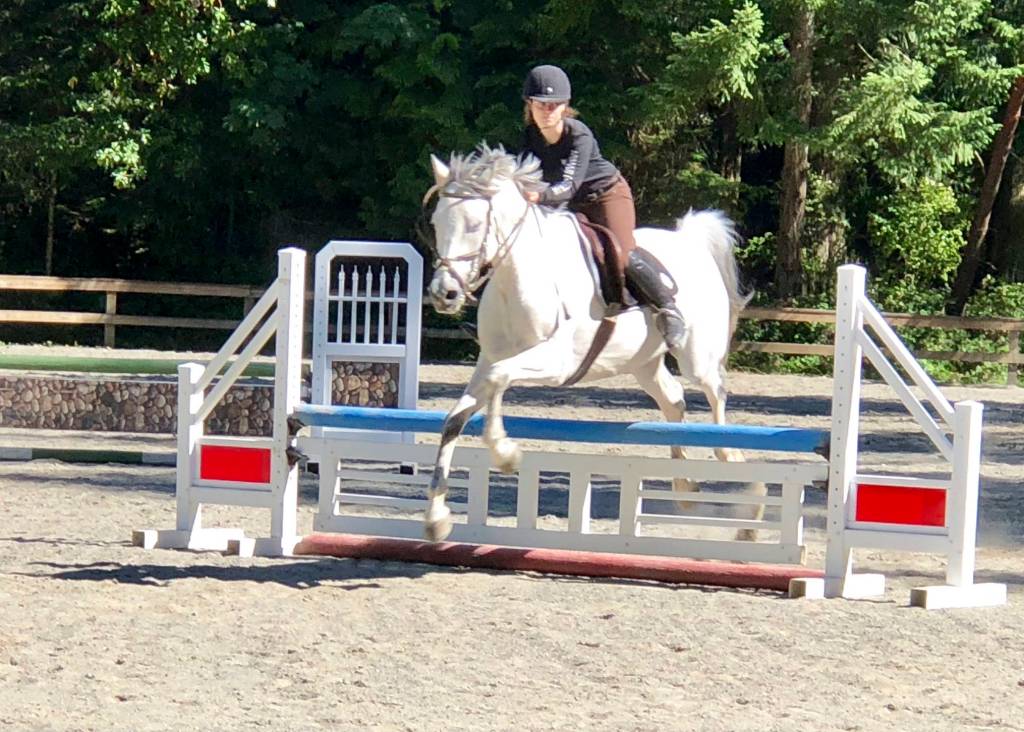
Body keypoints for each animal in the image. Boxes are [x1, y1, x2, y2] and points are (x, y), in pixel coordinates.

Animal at [421, 144, 760, 543]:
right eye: (437, 223)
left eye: (475, 225)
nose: (444, 294)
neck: (515, 279)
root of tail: (690, 243)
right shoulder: (489, 359)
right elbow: (457, 417)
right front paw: (437, 519)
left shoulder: (557, 362)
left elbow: (500, 379)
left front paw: (505, 452)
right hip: (643, 363)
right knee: (673, 400)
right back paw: (684, 488)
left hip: (697, 359)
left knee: (715, 392)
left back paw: (730, 461)